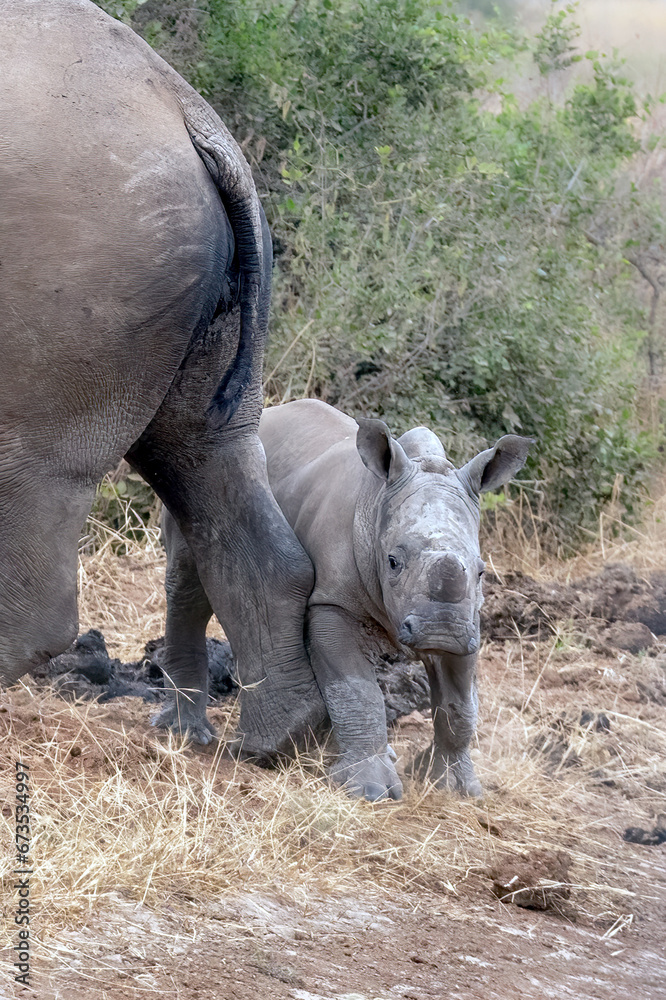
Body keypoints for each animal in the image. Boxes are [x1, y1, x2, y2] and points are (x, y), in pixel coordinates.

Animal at [161, 399, 532, 798]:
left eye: (481, 572)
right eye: (393, 562)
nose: (440, 630)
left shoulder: (467, 624)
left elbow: (460, 706)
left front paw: (456, 788)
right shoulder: (332, 605)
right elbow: (356, 689)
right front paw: (369, 791)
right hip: (198, 470)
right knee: (190, 587)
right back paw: (189, 734)